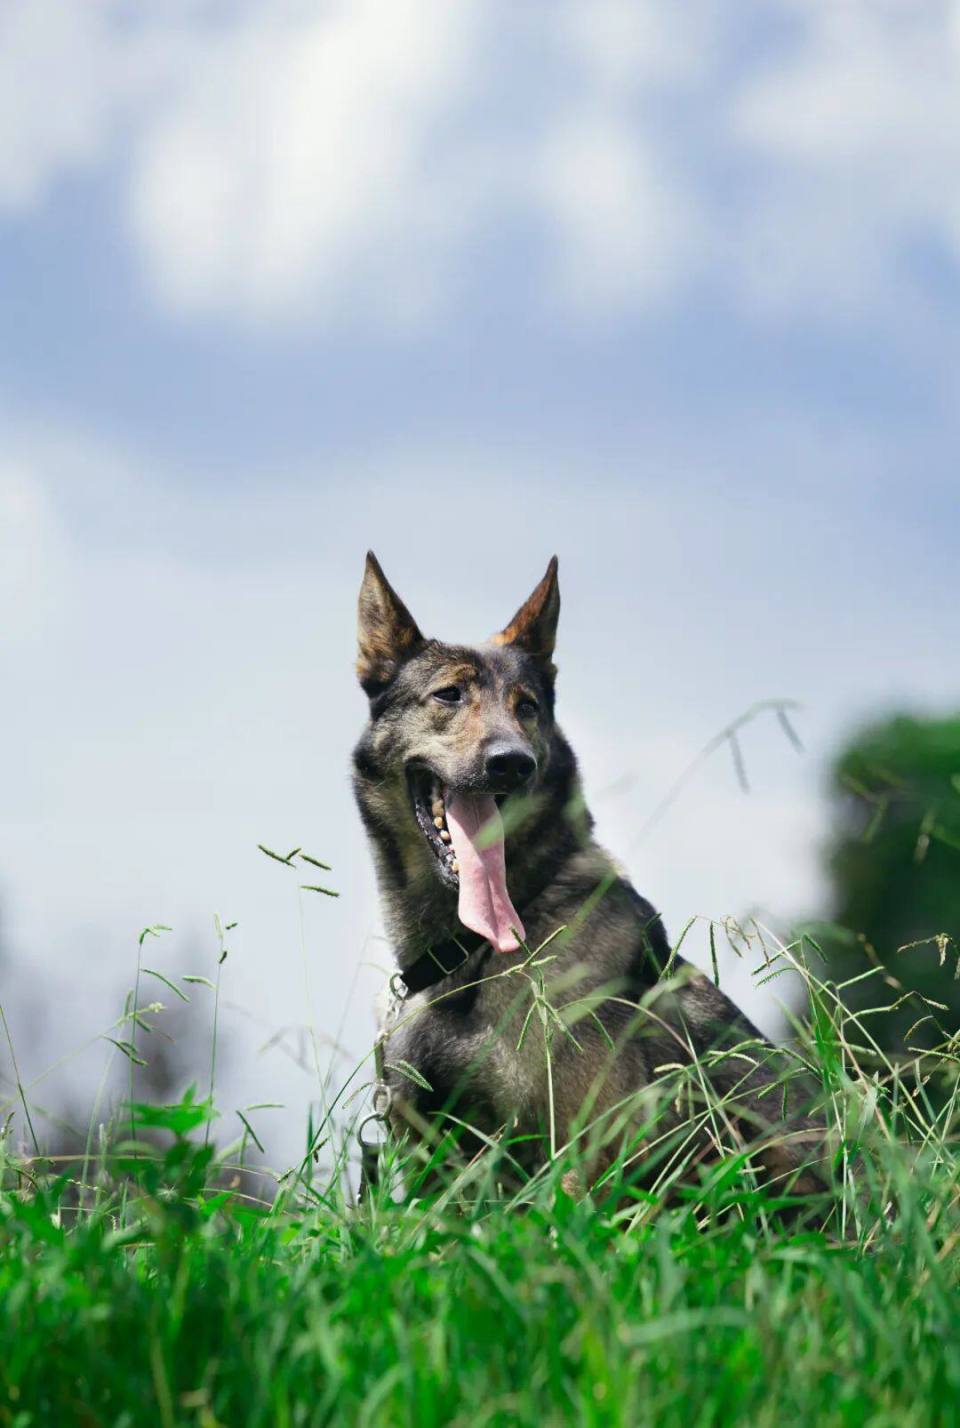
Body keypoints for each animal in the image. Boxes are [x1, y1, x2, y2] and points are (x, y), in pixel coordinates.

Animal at [352, 551, 822, 1199]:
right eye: (448, 695)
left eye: (527, 706)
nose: (512, 763)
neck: (472, 951)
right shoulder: (431, 1163)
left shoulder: (585, 1149)